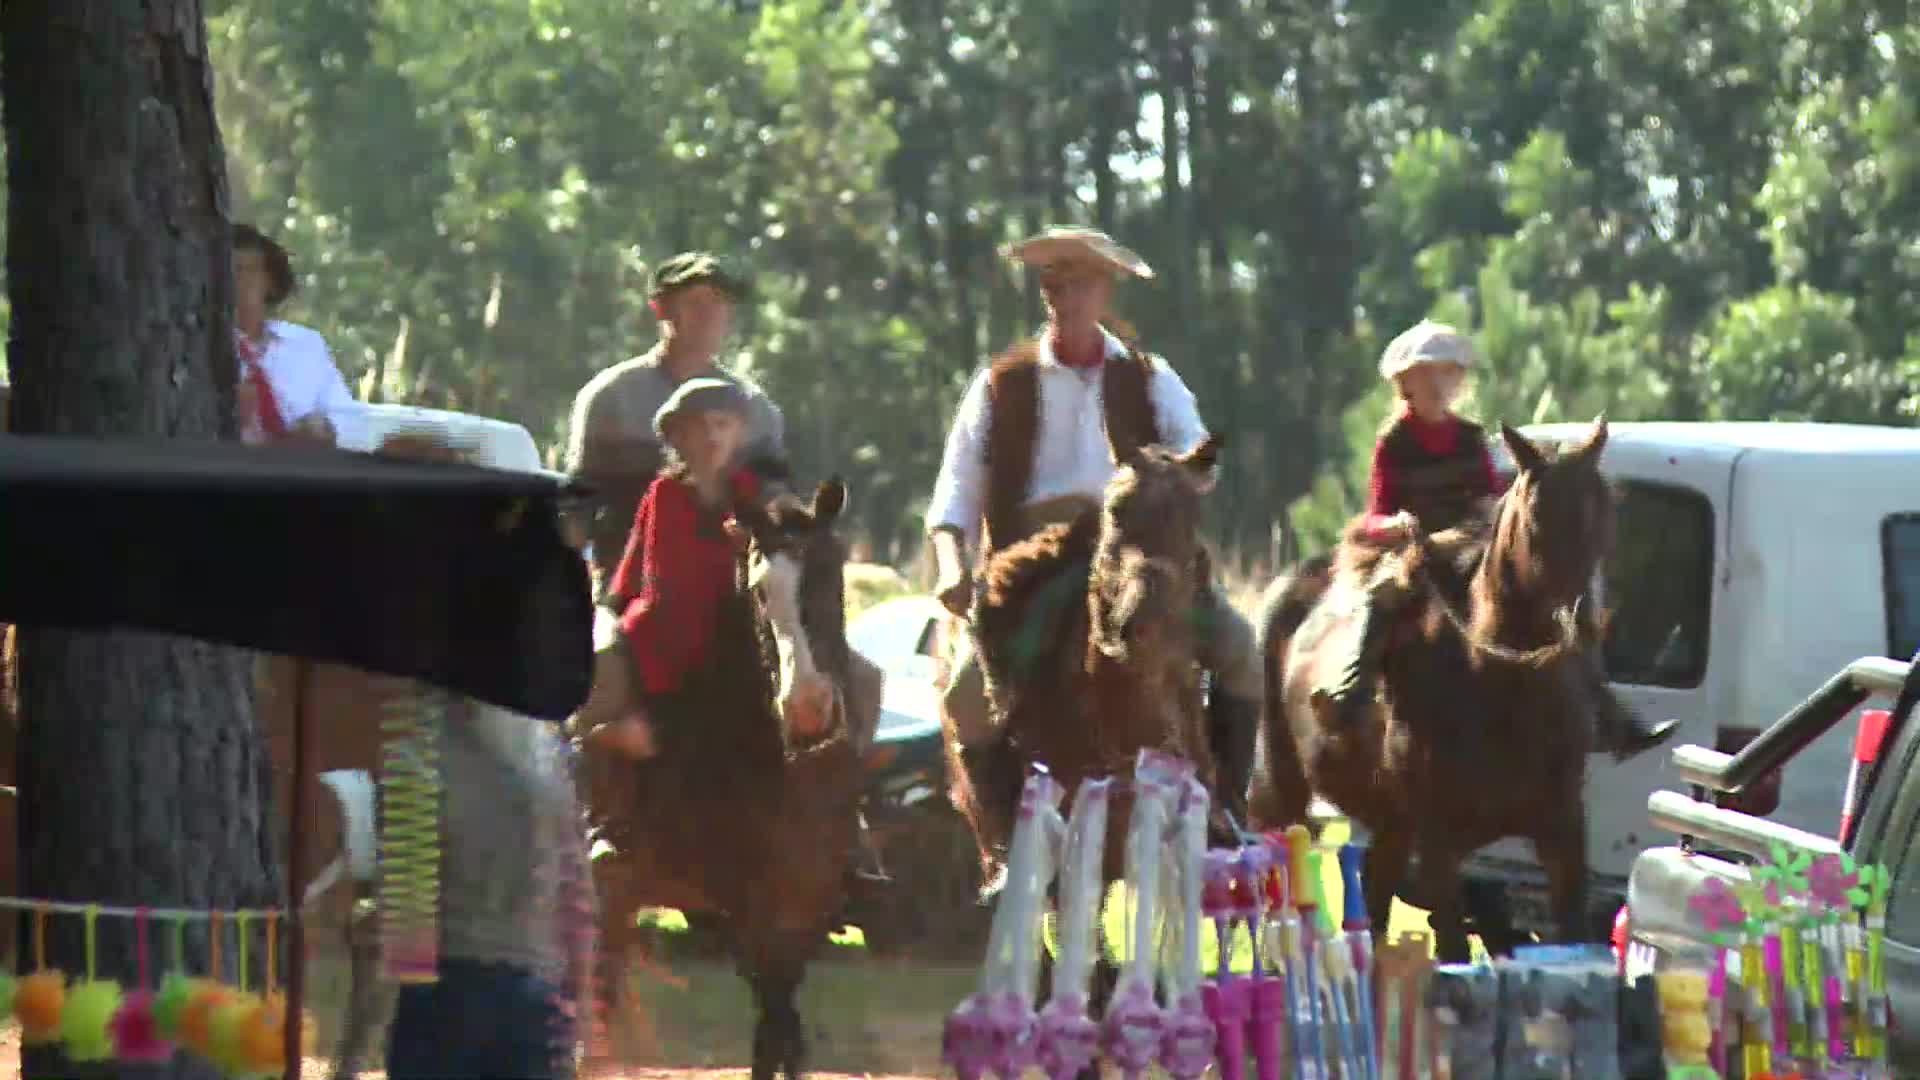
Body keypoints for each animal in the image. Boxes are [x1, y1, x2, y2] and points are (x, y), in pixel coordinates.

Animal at [579, 476, 875, 1076]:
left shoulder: (799, 913)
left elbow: (780, 1033)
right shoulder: (746, 916)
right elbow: (772, 1030)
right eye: (760, 593)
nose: (806, 706)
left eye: (828, 575)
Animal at [1251, 418, 1612, 957]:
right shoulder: (1441, 843)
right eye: (1535, 517)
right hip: (1285, 791)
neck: (1504, 687)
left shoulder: (1565, 830)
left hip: (1390, 826)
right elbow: (1454, 946)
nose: (1583, 621)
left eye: (1602, 514)